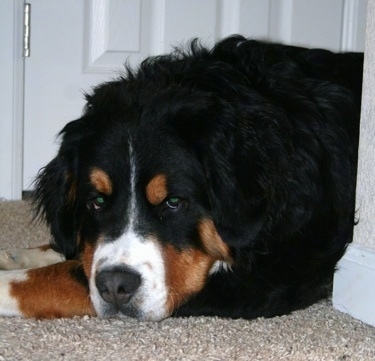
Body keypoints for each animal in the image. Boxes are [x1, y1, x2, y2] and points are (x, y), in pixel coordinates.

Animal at [0, 35, 364, 318]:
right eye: (97, 201)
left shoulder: (256, 280)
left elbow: (60, 277)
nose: (115, 287)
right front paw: (17, 254)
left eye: (174, 202)